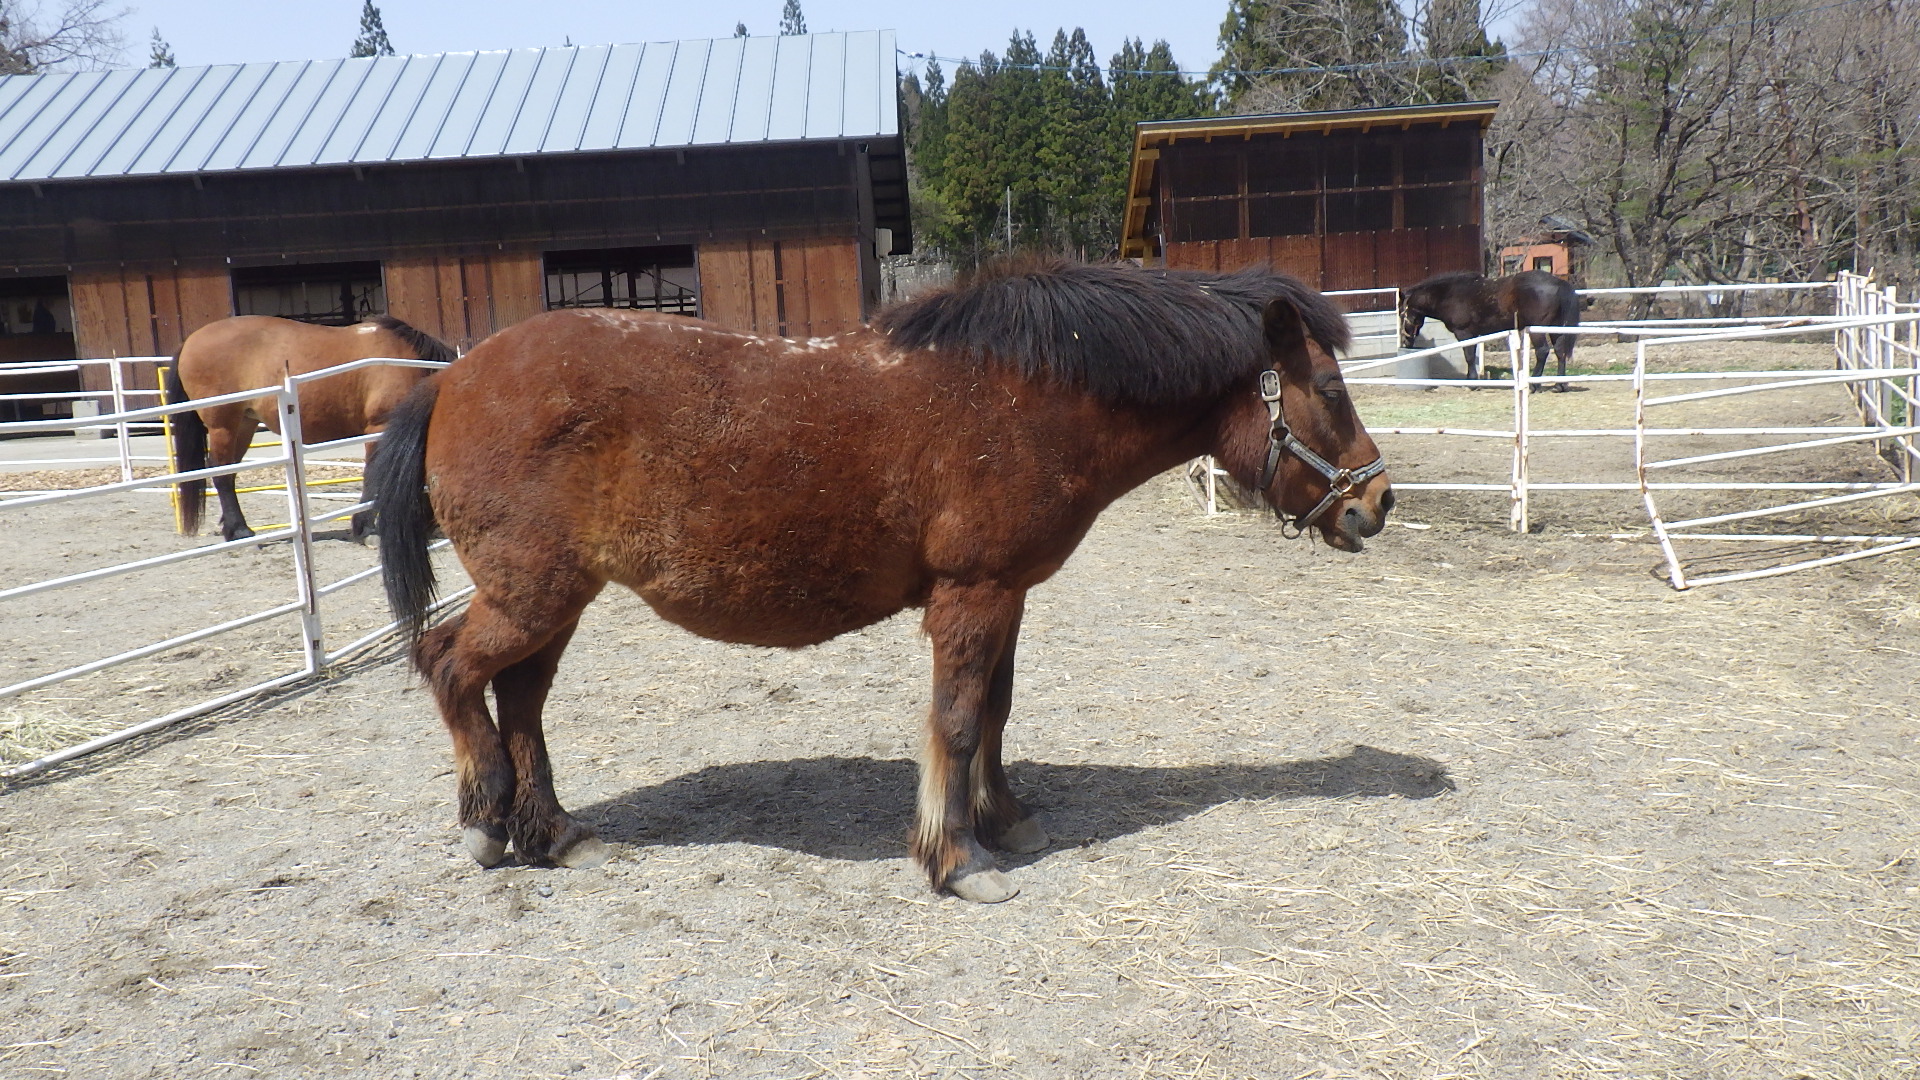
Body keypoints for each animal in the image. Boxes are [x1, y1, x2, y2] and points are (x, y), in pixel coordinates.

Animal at [161, 315, 453, 541]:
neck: (409, 363)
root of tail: (190, 340)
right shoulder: (379, 428)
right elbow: (374, 477)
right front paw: (366, 528)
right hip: (223, 425)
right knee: (221, 474)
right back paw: (241, 531)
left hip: (244, 424)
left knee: (229, 473)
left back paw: (233, 529)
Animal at [370, 259, 1397, 899]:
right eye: (1332, 392)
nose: (1376, 503)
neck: (1027, 390)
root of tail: (452, 378)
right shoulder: (973, 595)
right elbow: (957, 720)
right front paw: (957, 859)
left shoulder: (1006, 593)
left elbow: (995, 713)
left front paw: (1002, 818)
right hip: (531, 595)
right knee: (453, 668)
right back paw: (487, 823)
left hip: (556, 602)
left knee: (520, 697)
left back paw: (554, 834)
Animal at [1405, 269, 1582, 390]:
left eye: (1403, 313)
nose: (1407, 341)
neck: (1450, 294)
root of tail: (1558, 283)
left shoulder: (1464, 333)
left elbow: (1469, 357)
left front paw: (1471, 382)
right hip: (1555, 329)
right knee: (1560, 352)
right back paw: (1559, 385)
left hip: (1537, 330)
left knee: (1543, 351)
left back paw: (1534, 385)